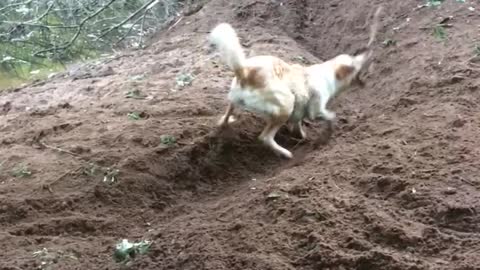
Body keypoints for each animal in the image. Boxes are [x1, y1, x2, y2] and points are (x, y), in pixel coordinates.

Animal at [210, 6, 382, 158]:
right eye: (355, 63)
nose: (368, 52)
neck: (330, 74)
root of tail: (245, 72)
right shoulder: (316, 111)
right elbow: (331, 116)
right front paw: (328, 133)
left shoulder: (300, 109)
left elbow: (298, 123)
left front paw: (302, 135)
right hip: (286, 105)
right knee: (265, 137)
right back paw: (284, 153)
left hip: (238, 99)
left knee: (228, 113)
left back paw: (225, 122)